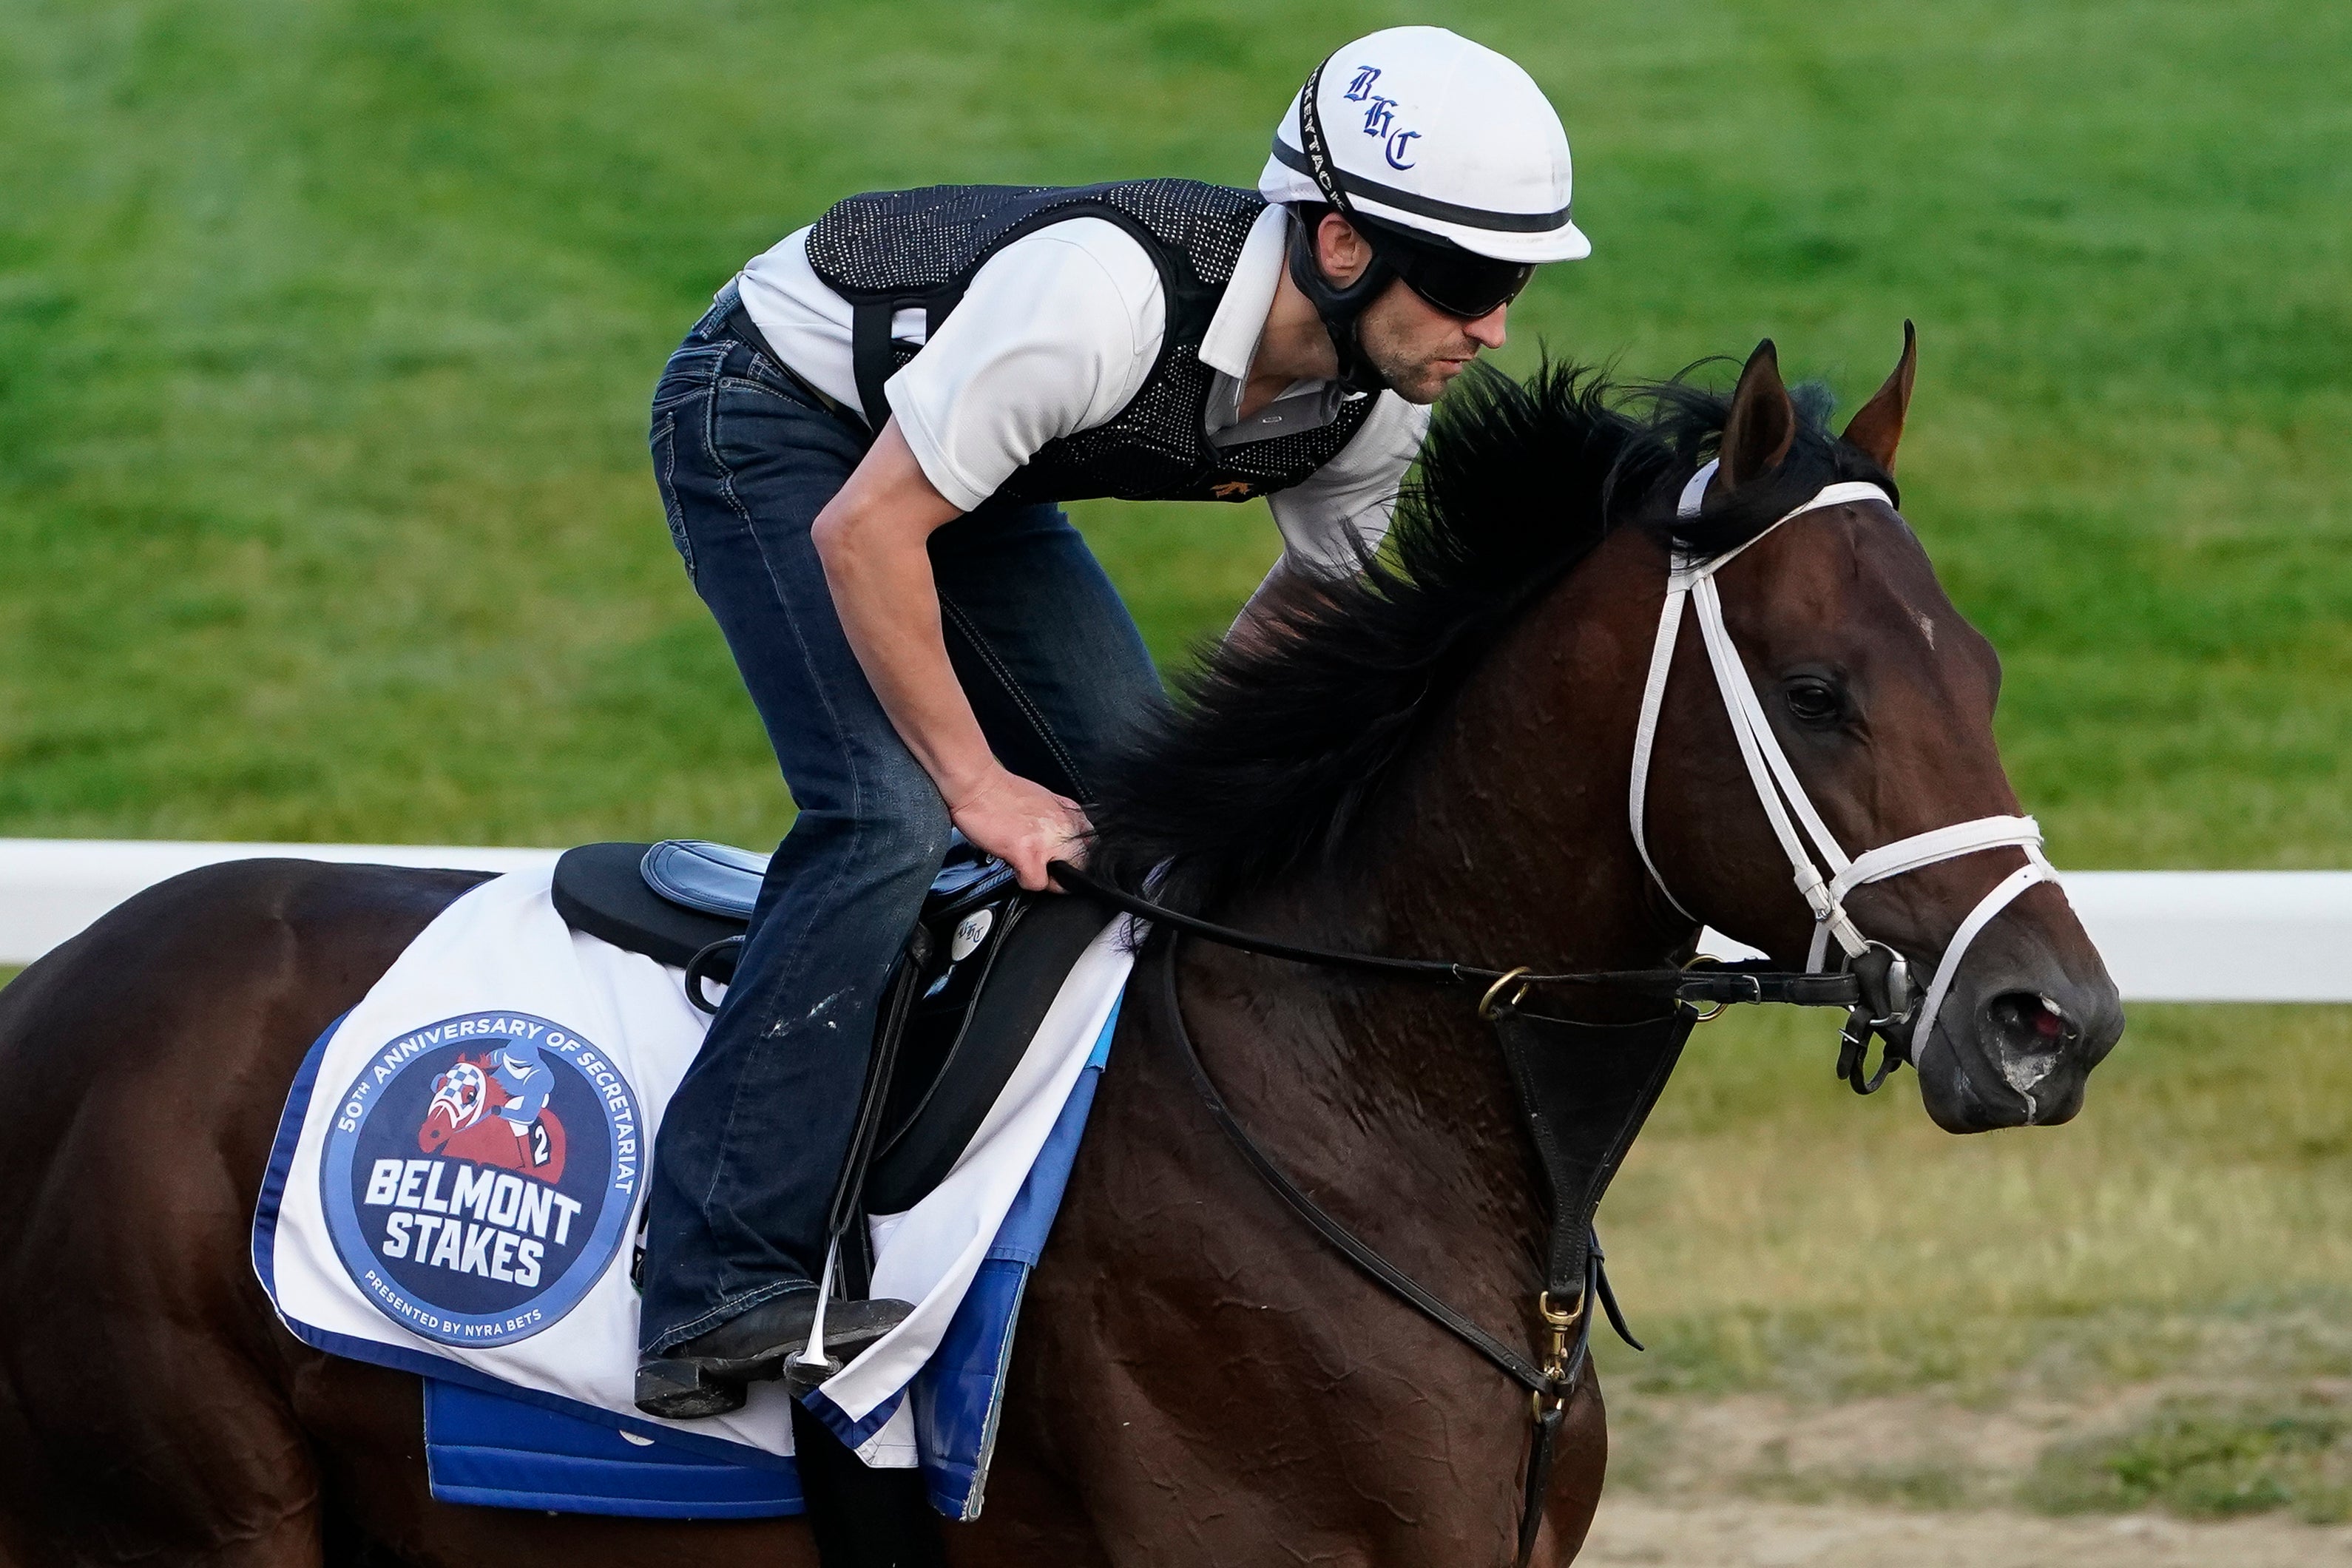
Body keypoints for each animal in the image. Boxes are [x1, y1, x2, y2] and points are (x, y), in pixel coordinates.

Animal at [0, 334, 2121, 1566]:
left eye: (1987, 671)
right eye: (1822, 690)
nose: (2054, 1021)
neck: (1358, 1085)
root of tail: (51, 1000)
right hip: (180, 1524)